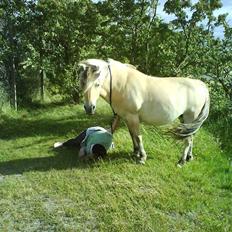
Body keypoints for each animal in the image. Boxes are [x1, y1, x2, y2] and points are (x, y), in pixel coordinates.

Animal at [78, 59, 210, 166]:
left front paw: (142, 157)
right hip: (187, 121)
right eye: (82, 83)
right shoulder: (127, 118)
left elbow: (138, 137)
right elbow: (132, 136)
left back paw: (181, 161)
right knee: (191, 137)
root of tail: (202, 85)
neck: (123, 84)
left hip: (190, 117)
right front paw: (136, 153)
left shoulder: (133, 117)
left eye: (97, 84)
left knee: (188, 140)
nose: (89, 108)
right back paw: (189, 157)